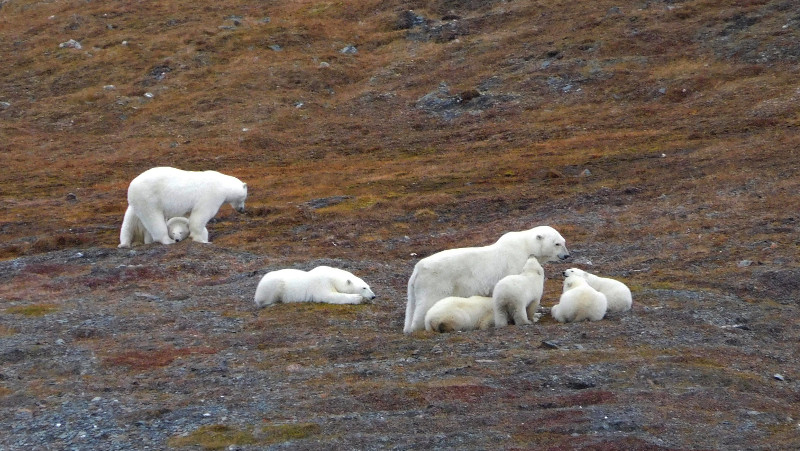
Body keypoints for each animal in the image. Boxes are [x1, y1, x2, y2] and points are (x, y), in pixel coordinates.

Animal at [118, 166, 247, 247]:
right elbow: (200, 215)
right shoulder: (212, 195)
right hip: (148, 198)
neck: (223, 184)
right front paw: (201, 240)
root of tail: (131, 186)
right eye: (244, 197)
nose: (242, 209)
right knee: (154, 219)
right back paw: (167, 240)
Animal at [404, 225, 569, 333]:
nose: (566, 255)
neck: (525, 246)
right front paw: (534, 316)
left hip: (415, 287)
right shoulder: (515, 264)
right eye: (557, 243)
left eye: (564, 242)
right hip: (435, 282)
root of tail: (418, 268)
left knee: (411, 306)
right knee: (426, 305)